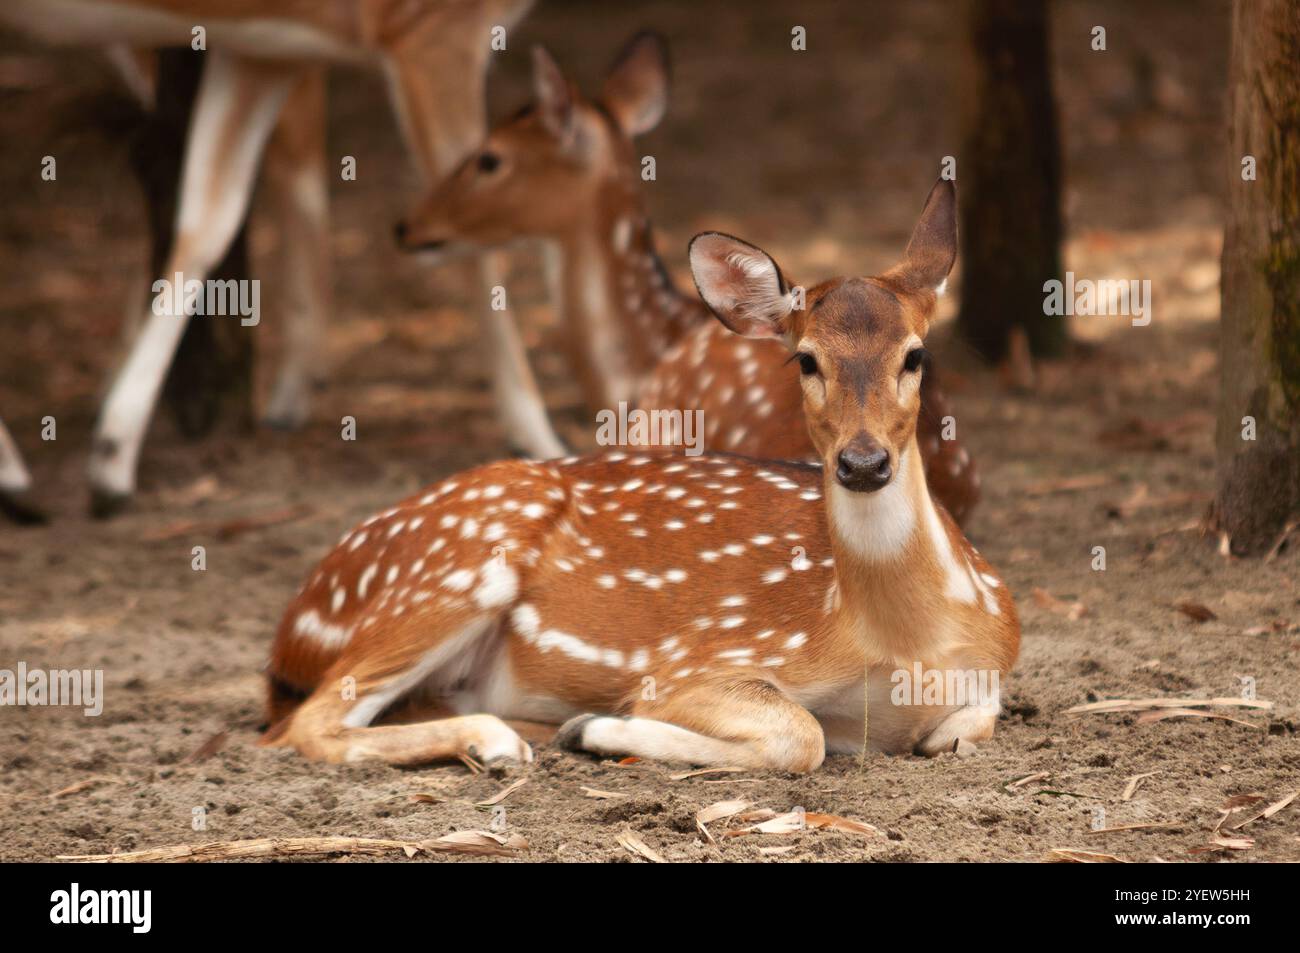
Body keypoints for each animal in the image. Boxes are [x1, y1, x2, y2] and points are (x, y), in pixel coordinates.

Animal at [0, 1, 561, 520]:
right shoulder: (430, 28)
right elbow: (475, 230)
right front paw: (541, 439)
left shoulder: (260, 52)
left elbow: (209, 218)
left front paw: (111, 462)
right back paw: (14, 476)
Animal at [261, 180, 1013, 774]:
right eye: (805, 359)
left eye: (916, 355)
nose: (862, 462)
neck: (906, 650)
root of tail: (296, 622)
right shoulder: (695, 663)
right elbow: (803, 734)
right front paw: (594, 727)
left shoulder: (998, 663)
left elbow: (963, 728)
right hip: (457, 565)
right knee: (306, 723)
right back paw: (500, 741)